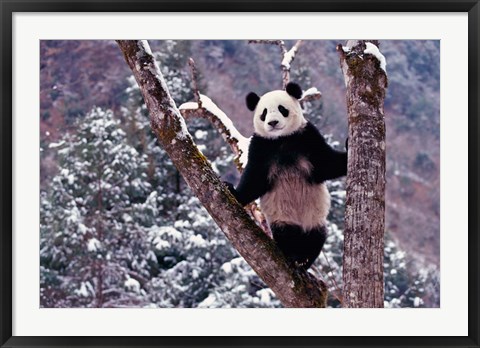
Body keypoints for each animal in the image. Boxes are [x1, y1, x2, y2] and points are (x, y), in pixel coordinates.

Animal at [227, 82, 346, 270]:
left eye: (282, 109)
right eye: (264, 113)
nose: (273, 122)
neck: (281, 139)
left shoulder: (307, 137)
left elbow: (327, 164)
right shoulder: (261, 147)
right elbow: (254, 179)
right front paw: (233, 191)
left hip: (314, 217)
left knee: (316, 237)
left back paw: (304, 259)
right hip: (282, 216)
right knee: (286, 234)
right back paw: (294, 254)